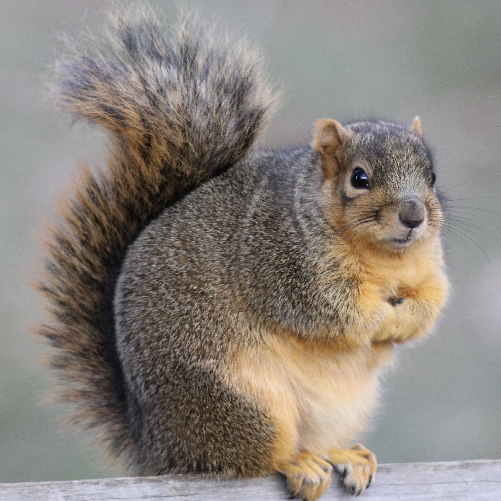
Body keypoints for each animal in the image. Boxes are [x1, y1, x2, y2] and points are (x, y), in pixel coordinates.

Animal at [37, 4, 448, 500]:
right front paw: (385, 319)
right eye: (359, 178)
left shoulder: (428, 268)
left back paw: (343, 455)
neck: (385, 258)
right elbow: (336, 311)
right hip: (240, 404)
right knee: (250, 458)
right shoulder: (280, 263)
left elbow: (432, 300)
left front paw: (410, 318)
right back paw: (298, 464)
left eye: (431, 174)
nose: (414, 216)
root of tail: (159, 446)